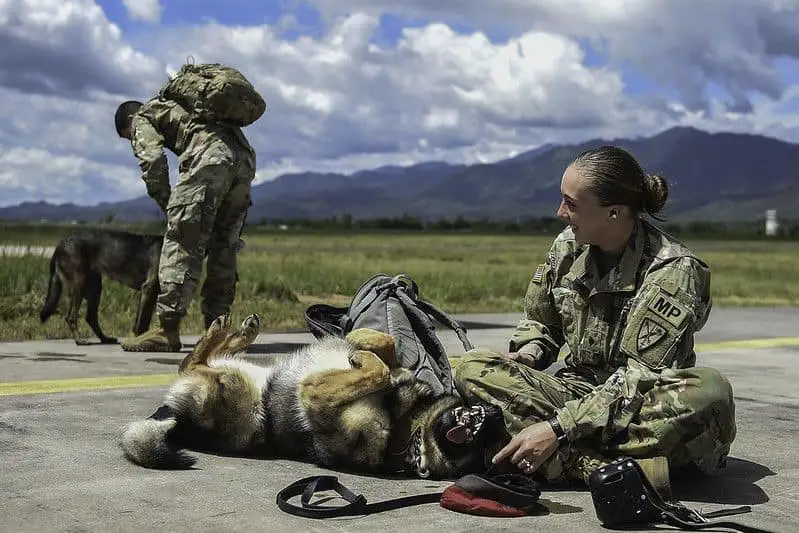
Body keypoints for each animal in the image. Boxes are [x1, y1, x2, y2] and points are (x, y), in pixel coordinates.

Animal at [119, 312, 500, 478]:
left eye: (470, 447)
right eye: (474, 437)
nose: (494, 416)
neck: (403, 422)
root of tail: (174, 416)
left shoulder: (314, 394)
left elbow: (374, 371)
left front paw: (361, 356)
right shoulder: (390, 366)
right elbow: (385, 346)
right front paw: (360, 340)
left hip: (232, 387)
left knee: (192, 363)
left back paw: (224, 331)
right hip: (239, 373)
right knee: (197, 358)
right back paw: (237, 330)